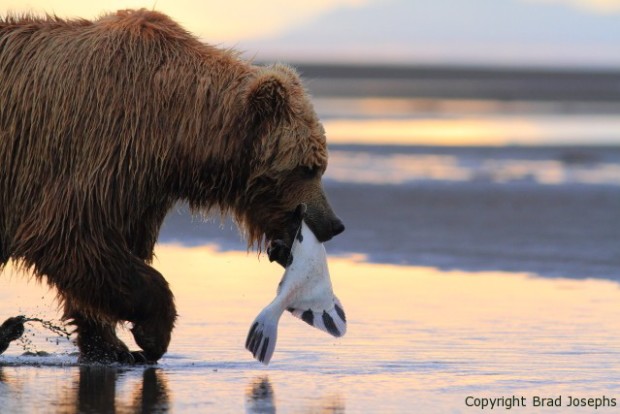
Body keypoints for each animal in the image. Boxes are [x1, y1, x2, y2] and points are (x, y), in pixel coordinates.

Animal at [0, 8, 344, 362]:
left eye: (321, 164)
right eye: (307, 168)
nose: (333, 224)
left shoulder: (137, 188)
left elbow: (105, 256)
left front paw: (110, 345)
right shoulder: (92, 148)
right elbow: (71, 238)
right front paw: (151, 333)